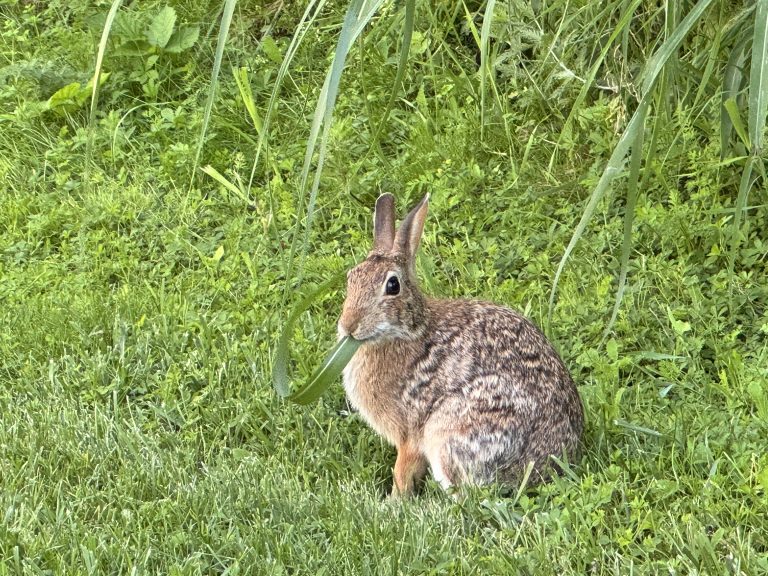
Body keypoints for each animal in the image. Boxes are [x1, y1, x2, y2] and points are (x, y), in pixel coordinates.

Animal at [336, 194, 584, 496]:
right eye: (351, 277)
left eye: (392, 285)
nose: (348, 325)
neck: (410, 330)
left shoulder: (410, 433)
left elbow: (403, 471)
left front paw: (394, 501)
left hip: (451, 431)